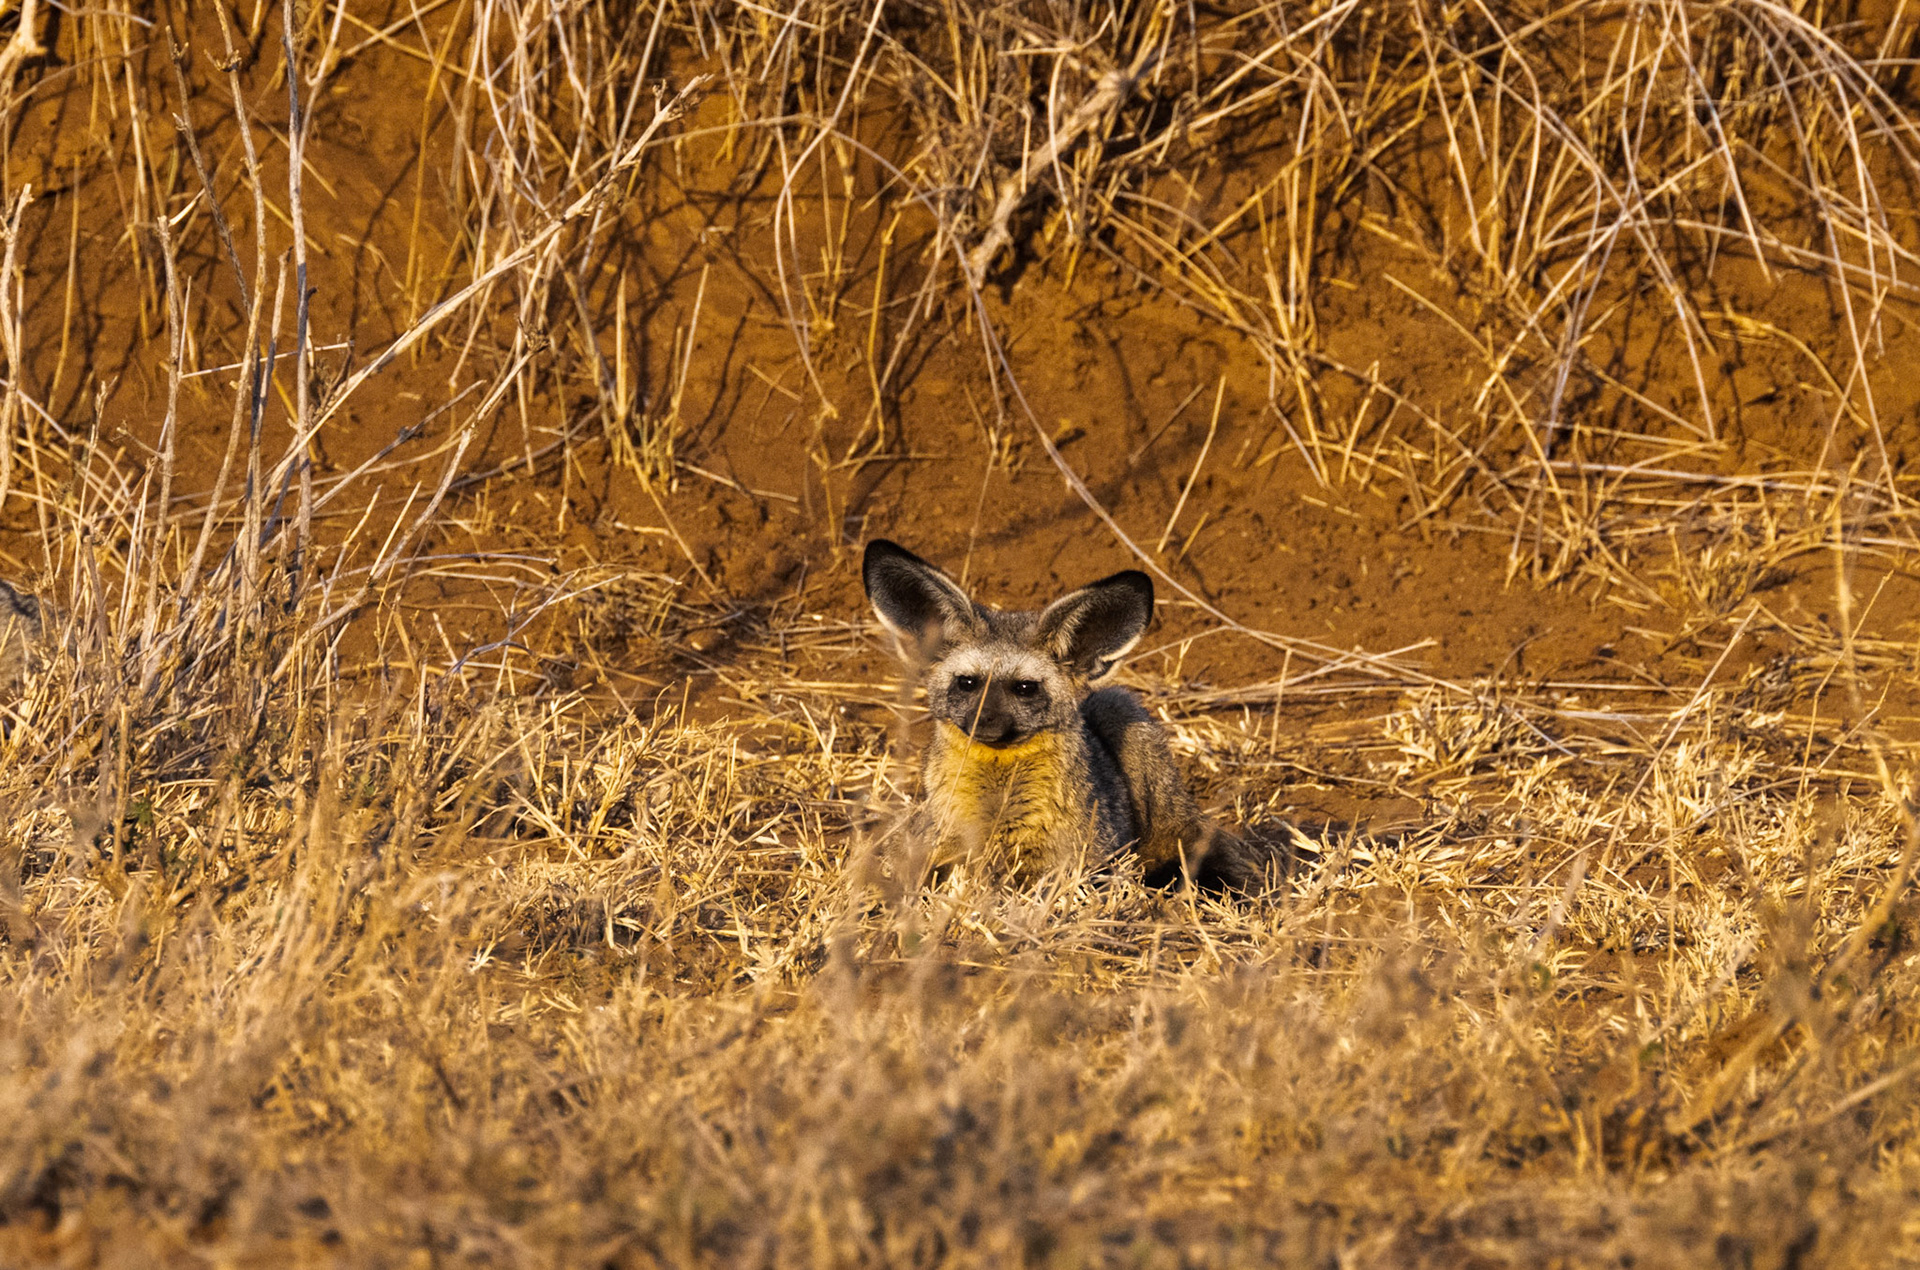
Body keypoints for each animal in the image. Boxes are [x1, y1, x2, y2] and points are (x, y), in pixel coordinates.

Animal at [863, 539, 1257, 889]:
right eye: (967, 683)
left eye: (1025, 688)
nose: (983, 721)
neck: (1000, 807)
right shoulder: (935, 846)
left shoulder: (1082, 858)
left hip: (1119, 708)